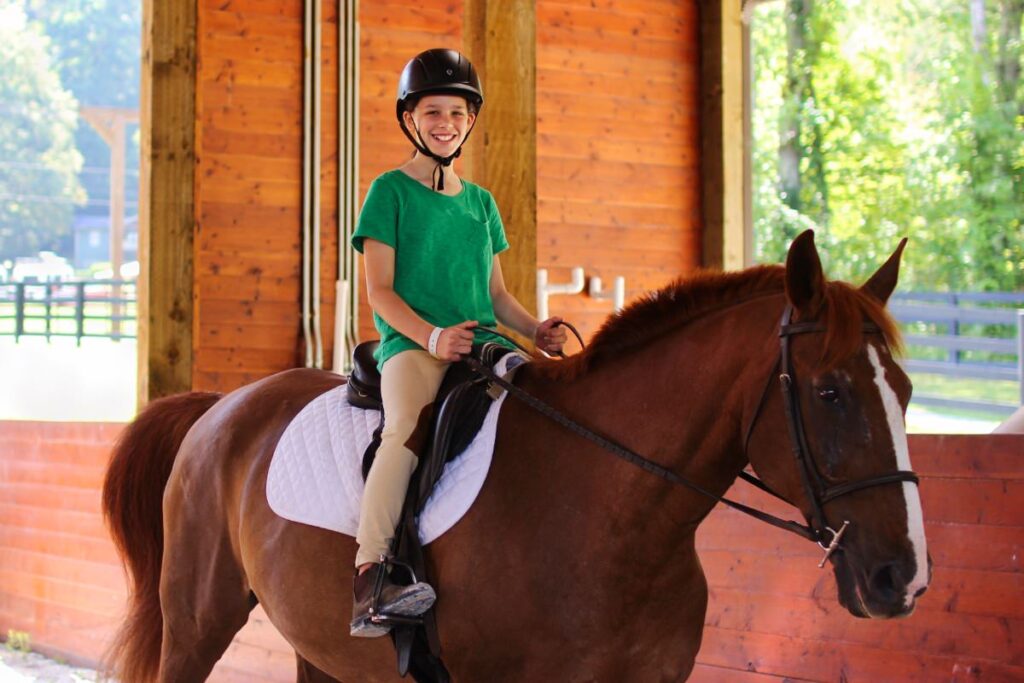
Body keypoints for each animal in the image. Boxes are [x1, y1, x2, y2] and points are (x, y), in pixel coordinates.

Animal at [101, 232, 929, 679]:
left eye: (906, 388)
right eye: (829, 391)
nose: (903, 577)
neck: (612, 515)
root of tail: (221, 406)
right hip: (197, 620)